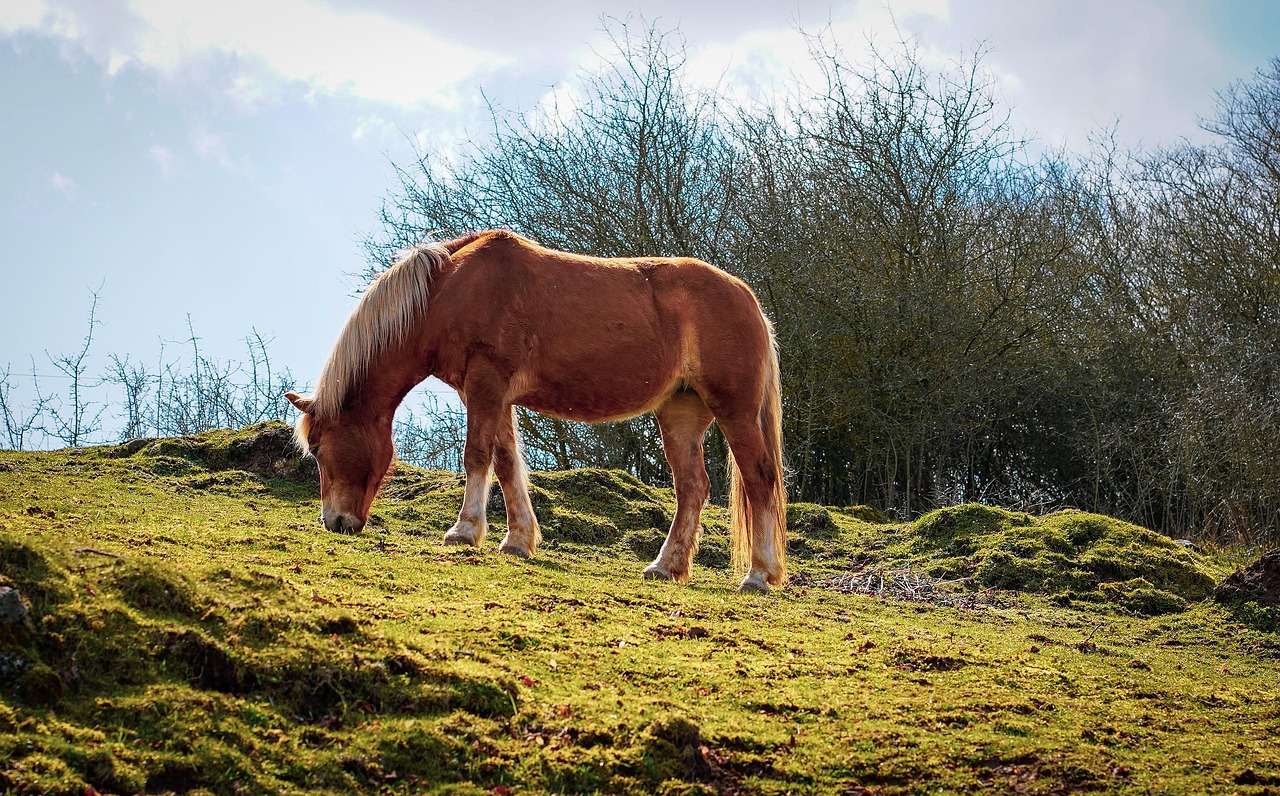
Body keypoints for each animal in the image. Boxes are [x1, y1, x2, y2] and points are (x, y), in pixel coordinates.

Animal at [288, 230, 788, 593]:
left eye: (318, 448)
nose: (334, 522)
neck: (449, 291)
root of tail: (749, 300)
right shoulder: (490, 394)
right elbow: (507, 464)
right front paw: (517, 540)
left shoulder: (486, 383)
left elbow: (476, 456)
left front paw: (464, 532)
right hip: (680, 414)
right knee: (692, 488)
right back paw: (666, 566)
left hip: (735, 411)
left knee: (759, 478)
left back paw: (759, 575)